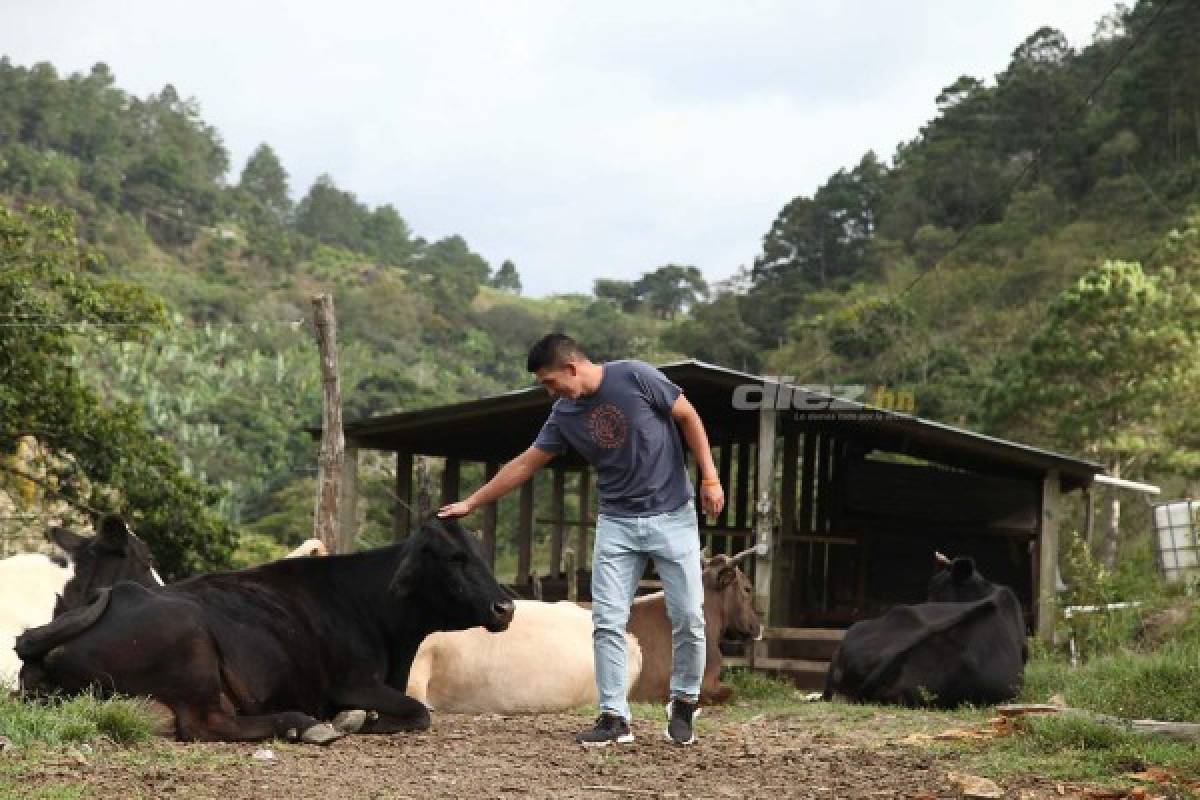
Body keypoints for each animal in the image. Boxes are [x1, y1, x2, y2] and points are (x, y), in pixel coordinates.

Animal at [17, 515, 516, 748]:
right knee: (206, 724)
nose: (506, 606)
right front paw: (363, 722)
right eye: (454, 558)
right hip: (192, 646)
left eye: (481, 554)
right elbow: (418, 711)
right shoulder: (350, 682)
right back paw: (305, 725)